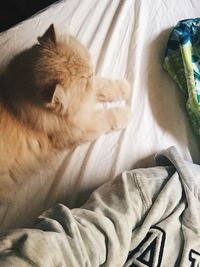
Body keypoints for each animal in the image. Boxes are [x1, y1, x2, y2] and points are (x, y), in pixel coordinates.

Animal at [0, 25, 131, 205]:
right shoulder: (80, 127)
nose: (92, 71)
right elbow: (109, 115)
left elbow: (103, 85)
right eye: (84, 78)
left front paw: (124, 88)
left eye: (88, 69)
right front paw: (127, 112)